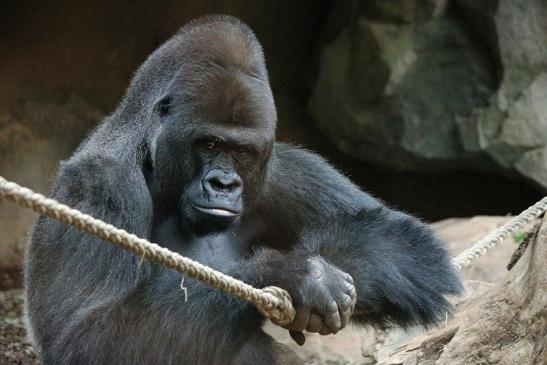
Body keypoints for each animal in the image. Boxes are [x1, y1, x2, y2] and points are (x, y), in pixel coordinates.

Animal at [24, 14, 462, 364]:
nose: (223, 183)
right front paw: (295, 274)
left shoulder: (282, 168)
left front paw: (322, 268)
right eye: (208, 144)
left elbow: (403, 240)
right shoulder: (100, 185)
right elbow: (88, 336)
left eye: (242, 151)